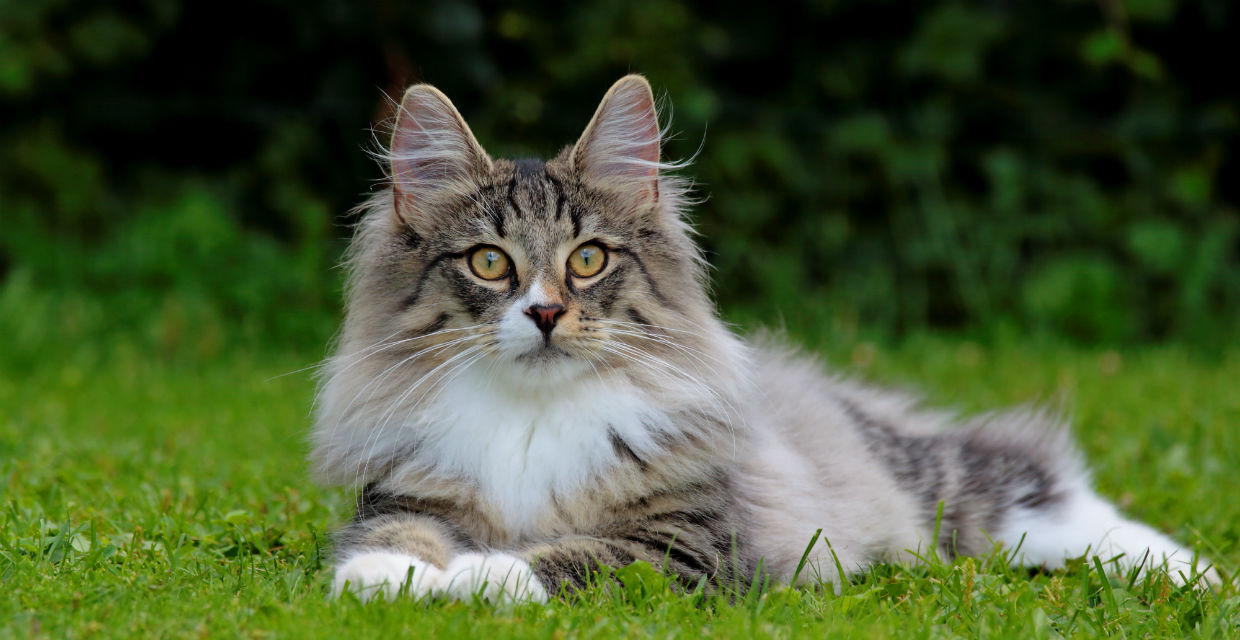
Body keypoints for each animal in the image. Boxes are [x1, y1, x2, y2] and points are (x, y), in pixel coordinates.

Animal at [310, 75, 1220, 605]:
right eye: (491, 263)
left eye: (588, 259)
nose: (544, 315)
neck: (532, 417)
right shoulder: (405, 497)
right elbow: (393, 539)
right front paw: (388, 580)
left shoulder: (685, 547)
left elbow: (568, 557)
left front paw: (479, 574)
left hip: (946, 490)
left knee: (1041, 486)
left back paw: (1196, 574)